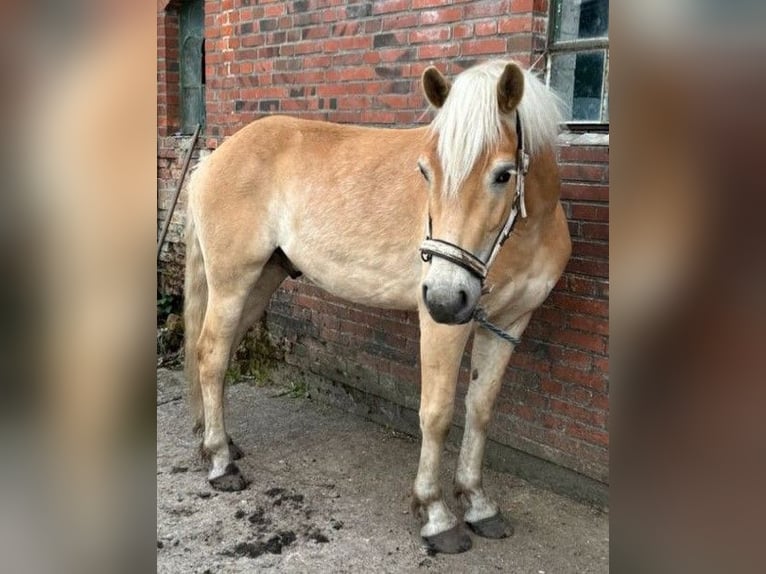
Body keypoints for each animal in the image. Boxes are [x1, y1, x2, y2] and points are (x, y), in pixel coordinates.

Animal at [184, 60, 568, 556]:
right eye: (425, 171)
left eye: (503, 174)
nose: (445, 296)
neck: (527, 232)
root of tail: (213, 157)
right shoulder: (444, 325)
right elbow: (437, 414)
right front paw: (437, 515)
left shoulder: (508, 324)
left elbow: (481, 411)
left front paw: (479, 505)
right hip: (233, 282)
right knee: (211, 356)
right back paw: (220, 463)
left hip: (262, 281)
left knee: (218, 354)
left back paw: (221, 442)